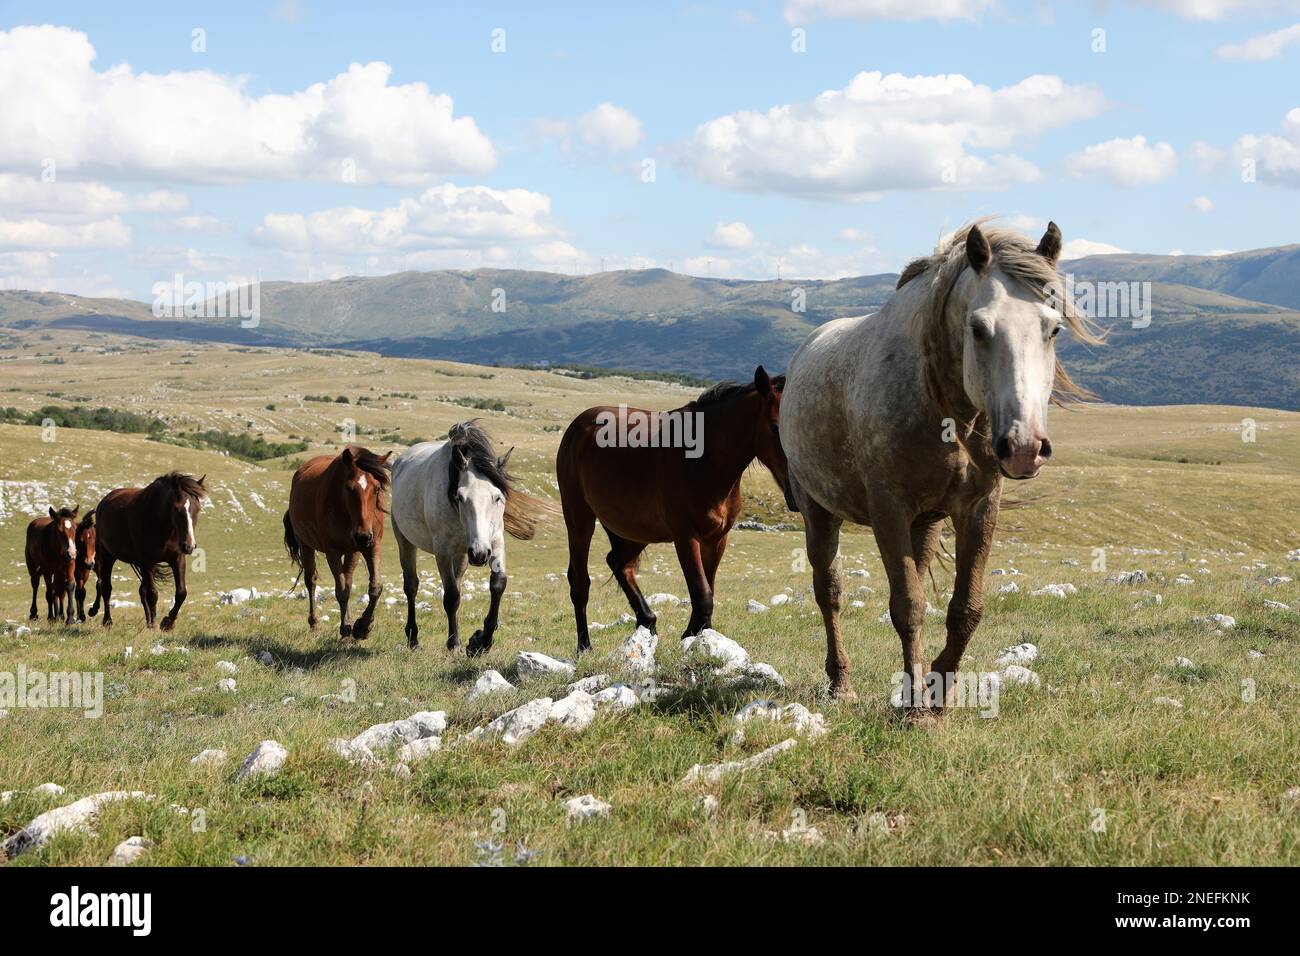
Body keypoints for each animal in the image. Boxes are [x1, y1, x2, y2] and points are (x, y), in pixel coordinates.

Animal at [96, 470, 209, 629]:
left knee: (141, 591)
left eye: (197, 509)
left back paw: (148, 621)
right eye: (177, 509)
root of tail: (105, 501)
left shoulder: (177, 559)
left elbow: (181, 592)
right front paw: (156, 624)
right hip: (107, 555)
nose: (189, 546)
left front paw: (167, 623)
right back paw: (108, 621)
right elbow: (152, 594)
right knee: (106, 588)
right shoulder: (146, 562)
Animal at [282, 444, 387, 639]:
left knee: (348, 579)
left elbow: (375, 586)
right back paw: (315, 624)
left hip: (353, 551)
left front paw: (363, 627)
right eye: (349, 488)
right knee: (311, 581)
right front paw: (346, 629)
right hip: (305, 545)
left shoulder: (371, 546)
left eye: (377, 489)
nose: (362, 536)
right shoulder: (333, 551)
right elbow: (342, 591)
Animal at [384, 421, 548, 655]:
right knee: (411, 586)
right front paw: (455, 643)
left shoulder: (495, 542)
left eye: (497, 497)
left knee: (457, 582)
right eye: (460, 497)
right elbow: (451, 596)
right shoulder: (442, 550)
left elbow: (498, 584)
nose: (479, 554)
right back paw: (413, 639)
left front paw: (482, 640)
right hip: (406, 541)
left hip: (461, 555)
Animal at [780, 218, 1097, 712]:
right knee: (828, 592)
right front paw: (915, 710)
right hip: (819, 511)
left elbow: (966, 609)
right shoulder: (888, 509)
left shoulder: (979, 508)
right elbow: (907, 607)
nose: (1024, 447)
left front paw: (938, 693)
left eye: (1054, 329)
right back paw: (840, 682)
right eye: (979, 329)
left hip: (925, 522)